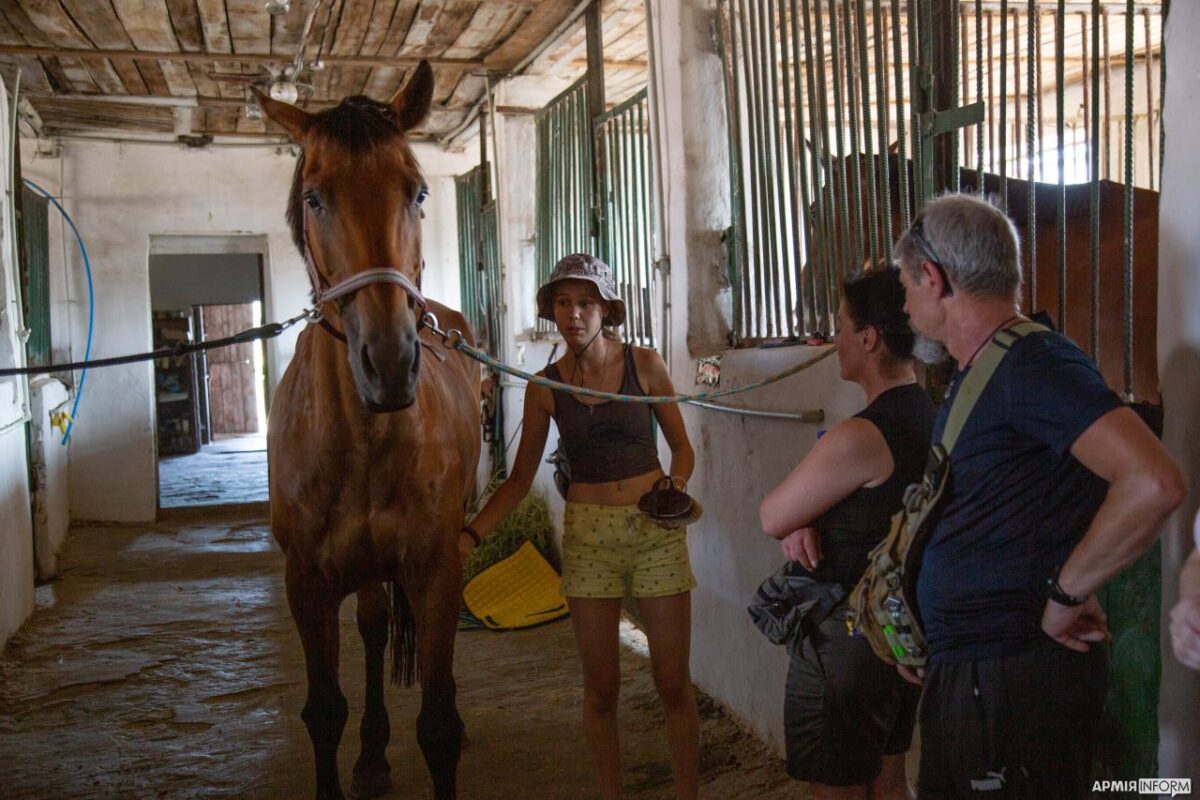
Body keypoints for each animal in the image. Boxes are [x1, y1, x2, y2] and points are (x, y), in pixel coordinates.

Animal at [254, 61, 481, 800]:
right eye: (316, 198)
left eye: (419, 191)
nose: (389, 363)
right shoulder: (306, 581)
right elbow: (324, 711)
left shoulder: (437, 569)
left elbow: (438, 724)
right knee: (376, 626)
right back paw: (374, 756)